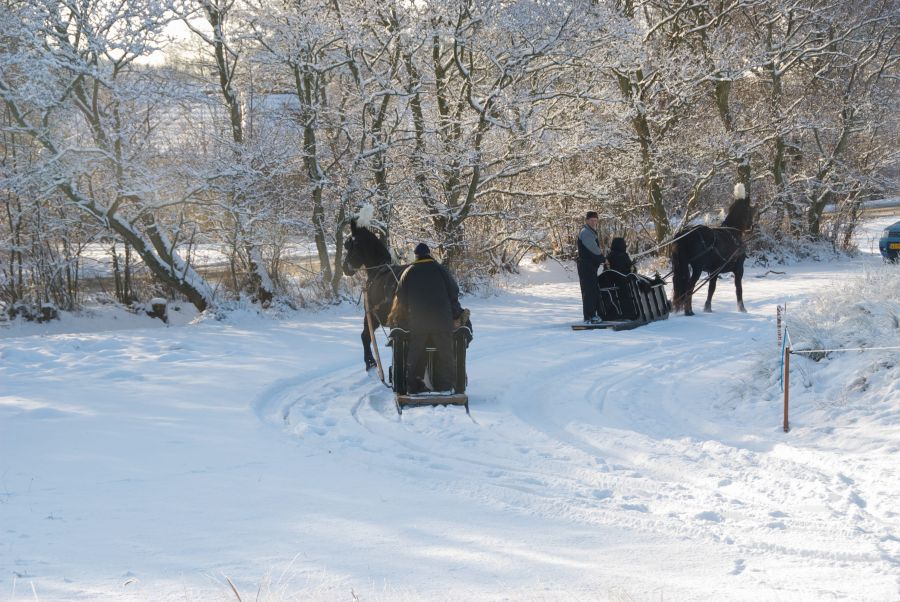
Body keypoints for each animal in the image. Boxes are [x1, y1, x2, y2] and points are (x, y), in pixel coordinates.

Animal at [342, 210, 407, 371]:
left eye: (350, 245)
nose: (345, 268)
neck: (378, 269)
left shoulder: (371, 315)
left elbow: (365, 336)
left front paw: (370, 361)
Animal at [670, 184, 754, 316]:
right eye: (750, 210)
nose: (751, 227)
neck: (732, 233)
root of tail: (684, 233)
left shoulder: (714, 271)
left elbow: (711, 289)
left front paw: (707, 308)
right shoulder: (739, 269)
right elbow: (738, 289)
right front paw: (742, 308)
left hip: (678, 265)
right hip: (697, 268)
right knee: (690, 287)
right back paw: (689, 311)